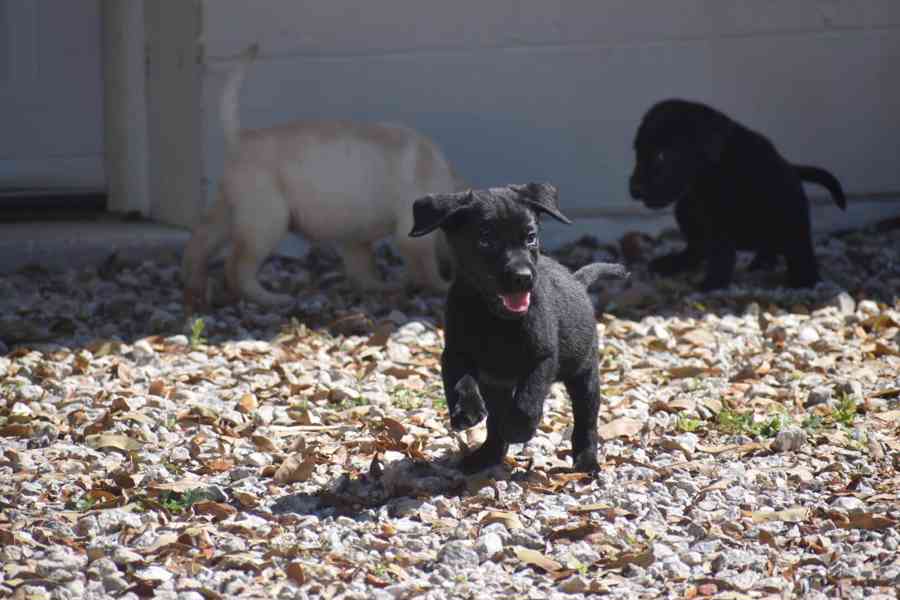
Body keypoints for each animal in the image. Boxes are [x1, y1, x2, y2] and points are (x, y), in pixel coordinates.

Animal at [185, 45, 460, 310]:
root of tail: (240, 138)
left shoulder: (356, 236)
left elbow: (363, 267)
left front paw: (380, 286)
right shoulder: (412, 235)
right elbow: (426, 266)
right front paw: (442, 286)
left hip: (232, 210)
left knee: (201, 240)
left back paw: (193, 282)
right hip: (266, 221)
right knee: (237, 267)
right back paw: (269, 299)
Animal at [408, 183, 624, 474]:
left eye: (530, 237)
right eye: (485, 239)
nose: (523, 278)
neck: (495, 319)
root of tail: (576, 282)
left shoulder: (543, 357)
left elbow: (528, 400)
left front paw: (519, 429)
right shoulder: (454, 352)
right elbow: (459, 381)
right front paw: (466, 410)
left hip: (584, 375)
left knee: (586, 422)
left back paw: (586, 461)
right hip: (495, 386)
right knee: (495, 421)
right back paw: (486, 455)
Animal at [628, 98, 848, 290]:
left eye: (661, 156)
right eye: (637, 152)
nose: (634, 190)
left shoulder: (789, 211)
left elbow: (800, 249)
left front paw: (806, 280)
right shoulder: (714, 222)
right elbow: (720, 252)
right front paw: (714, 282)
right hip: (685, 210)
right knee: (698, 248)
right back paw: (676, 262)